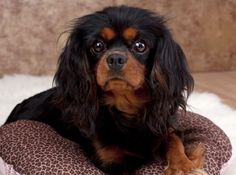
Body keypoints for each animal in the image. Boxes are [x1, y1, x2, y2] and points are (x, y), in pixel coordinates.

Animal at [6, 5, 206, 175]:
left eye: (140, 46)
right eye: (97, 46)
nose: (115, 58)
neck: (127, 109)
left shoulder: (165, 125)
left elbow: (173, 139)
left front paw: (184, 167)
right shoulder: (111, 163)